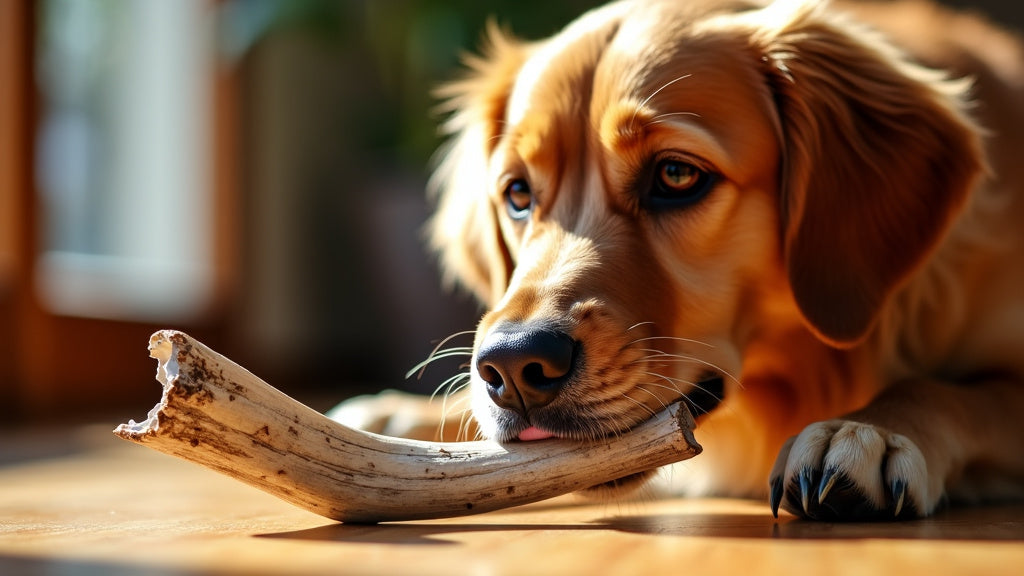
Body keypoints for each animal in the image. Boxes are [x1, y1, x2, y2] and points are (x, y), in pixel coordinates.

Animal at [331, 0, 1019, 518]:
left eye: (677, 175)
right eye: (518, 194)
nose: (513, 366)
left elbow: (954, 390)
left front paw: (866, 430)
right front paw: (410, 412)